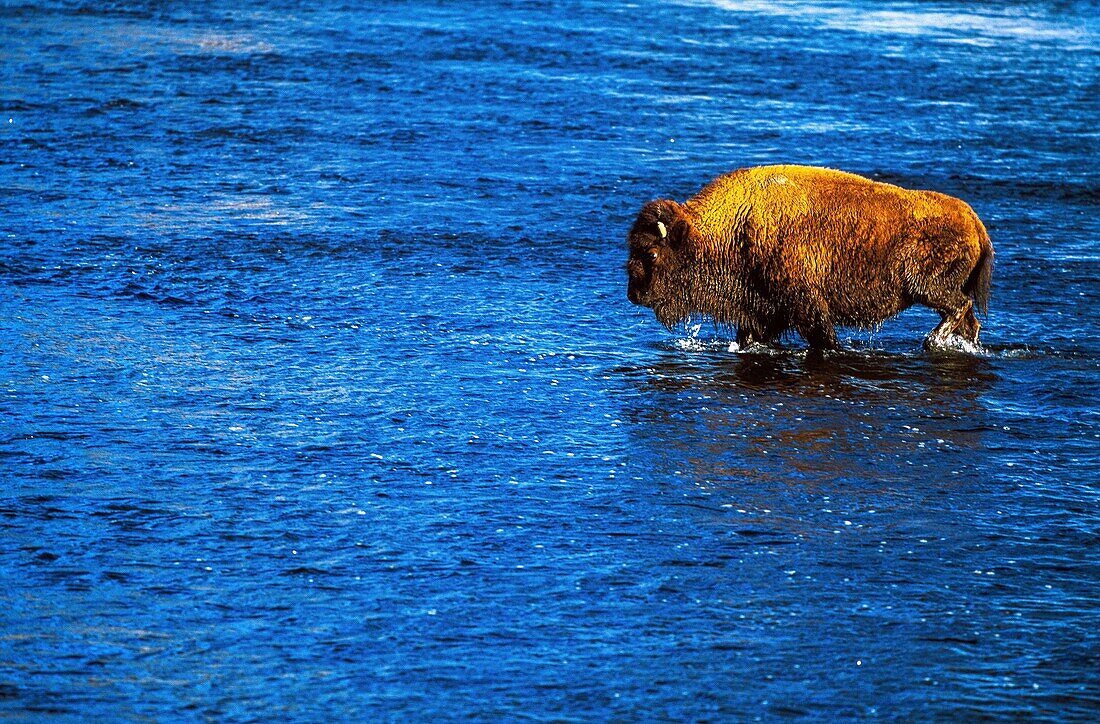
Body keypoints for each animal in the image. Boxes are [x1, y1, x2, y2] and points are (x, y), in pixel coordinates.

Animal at [629, 167, 998, 352]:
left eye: (651, 253)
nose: (634, 294)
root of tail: (973, 221)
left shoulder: (803, 303)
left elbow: (823, 336)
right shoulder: (763, 308)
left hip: (925, 286)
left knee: (959, 307)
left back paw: (930, 342)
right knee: (969, 320)